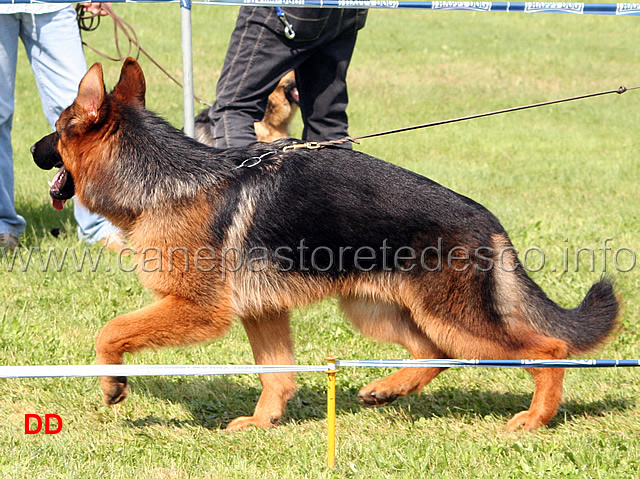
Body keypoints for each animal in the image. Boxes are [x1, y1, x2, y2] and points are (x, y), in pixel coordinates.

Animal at [31, 59, 620, 432]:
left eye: (55, 129)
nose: (35, 150)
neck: (165, 179)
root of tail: (487, 219)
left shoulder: (196, 310)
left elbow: (110, 330)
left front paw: (112, 384)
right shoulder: (262, 312)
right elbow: (276, 374)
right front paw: (263, 422)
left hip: (453, 317)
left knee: (547, 349)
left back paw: (535, 419)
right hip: (377, 309)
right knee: (438, 351)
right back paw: (389, 389)